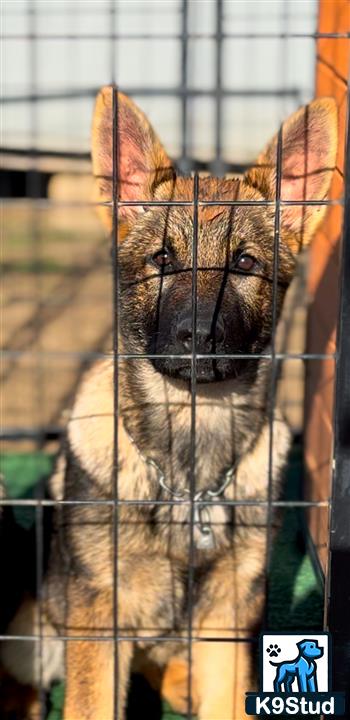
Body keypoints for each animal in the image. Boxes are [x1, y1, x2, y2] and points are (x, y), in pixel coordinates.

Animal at [2, 91, 336, 720]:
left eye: (244, 264)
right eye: (161, 259)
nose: (198, 336)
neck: (188, 471)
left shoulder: (228, 617)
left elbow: (228, 697)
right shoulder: (99, 622)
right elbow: (90, 704)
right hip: (38, 627)